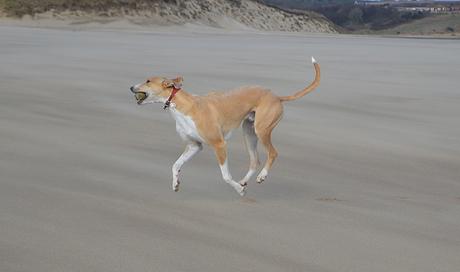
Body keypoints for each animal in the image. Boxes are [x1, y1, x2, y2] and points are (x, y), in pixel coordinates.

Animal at [130, 56, 320, 196]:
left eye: (148, 81)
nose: (131, 87)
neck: (184, 106)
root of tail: (277, 96)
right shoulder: (194, 146)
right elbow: (175, 165)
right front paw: (175, 183)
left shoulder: (219, 144)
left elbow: (225, 176)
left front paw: (239, 190)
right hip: (248, 132)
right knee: (255, 160)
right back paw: (244, 180)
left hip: (262, 130)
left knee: (273, 153)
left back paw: (261, 177)